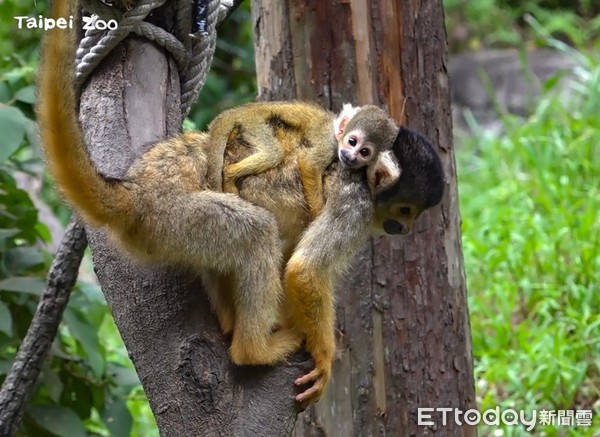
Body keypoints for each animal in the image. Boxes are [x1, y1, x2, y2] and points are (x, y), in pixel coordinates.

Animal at [213, 102, 400, 218]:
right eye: (352, 141)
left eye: (364, 152)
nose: (350, 156)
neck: (337, 135)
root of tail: (241, 110)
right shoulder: (328, 143)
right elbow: (309, 164)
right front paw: (317, 213)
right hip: (255, 124)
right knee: (274, 153)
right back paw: (229, 175)